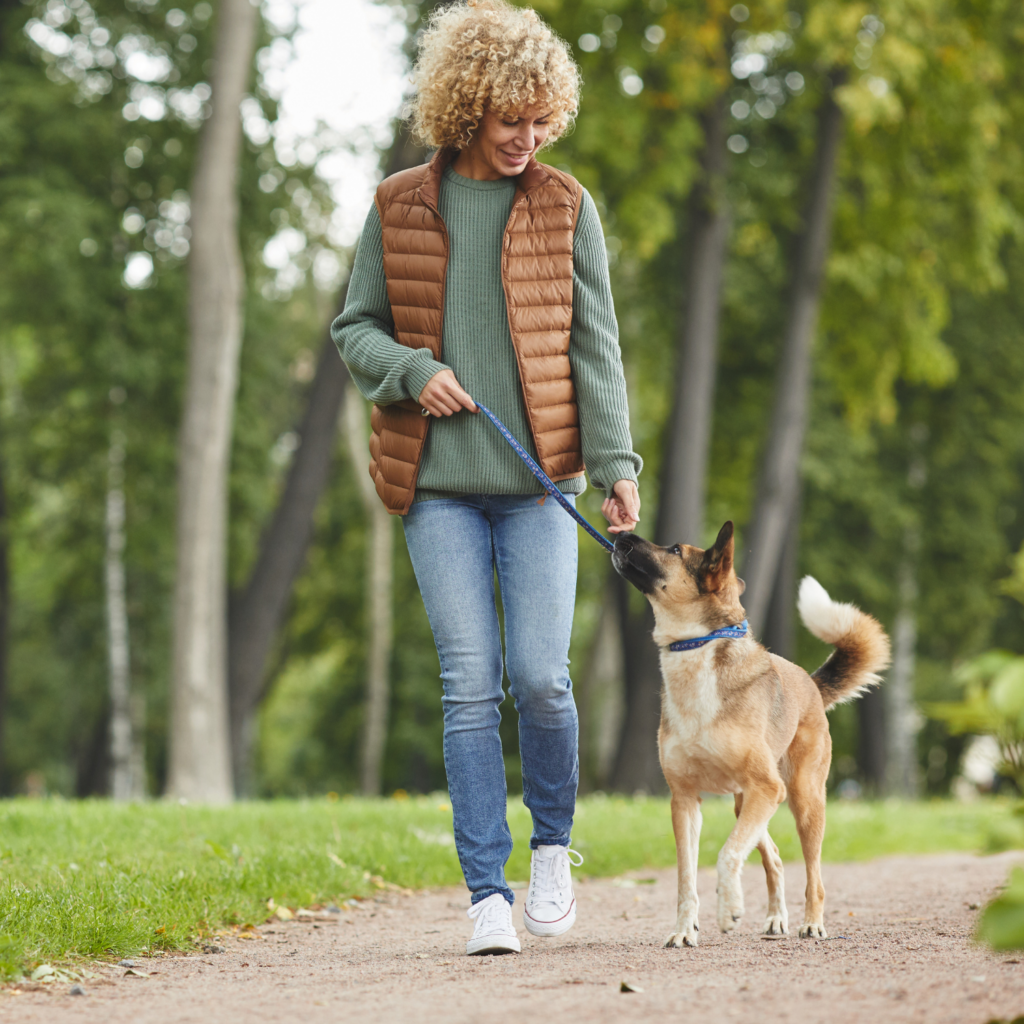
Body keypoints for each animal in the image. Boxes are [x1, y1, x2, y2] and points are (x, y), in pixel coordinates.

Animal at [610, 524, 892, 946]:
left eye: (674, 549)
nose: (620, 534)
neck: (697, 649)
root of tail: (810, 683)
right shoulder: (685, 801)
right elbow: (686, 876)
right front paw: (684, 930)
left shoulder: (766, 788)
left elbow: (726, 854)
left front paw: (729, 909)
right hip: (747, 802)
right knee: (772, 856)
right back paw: (776, 919)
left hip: (800, 799)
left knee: (814, 875)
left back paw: (812, 923)